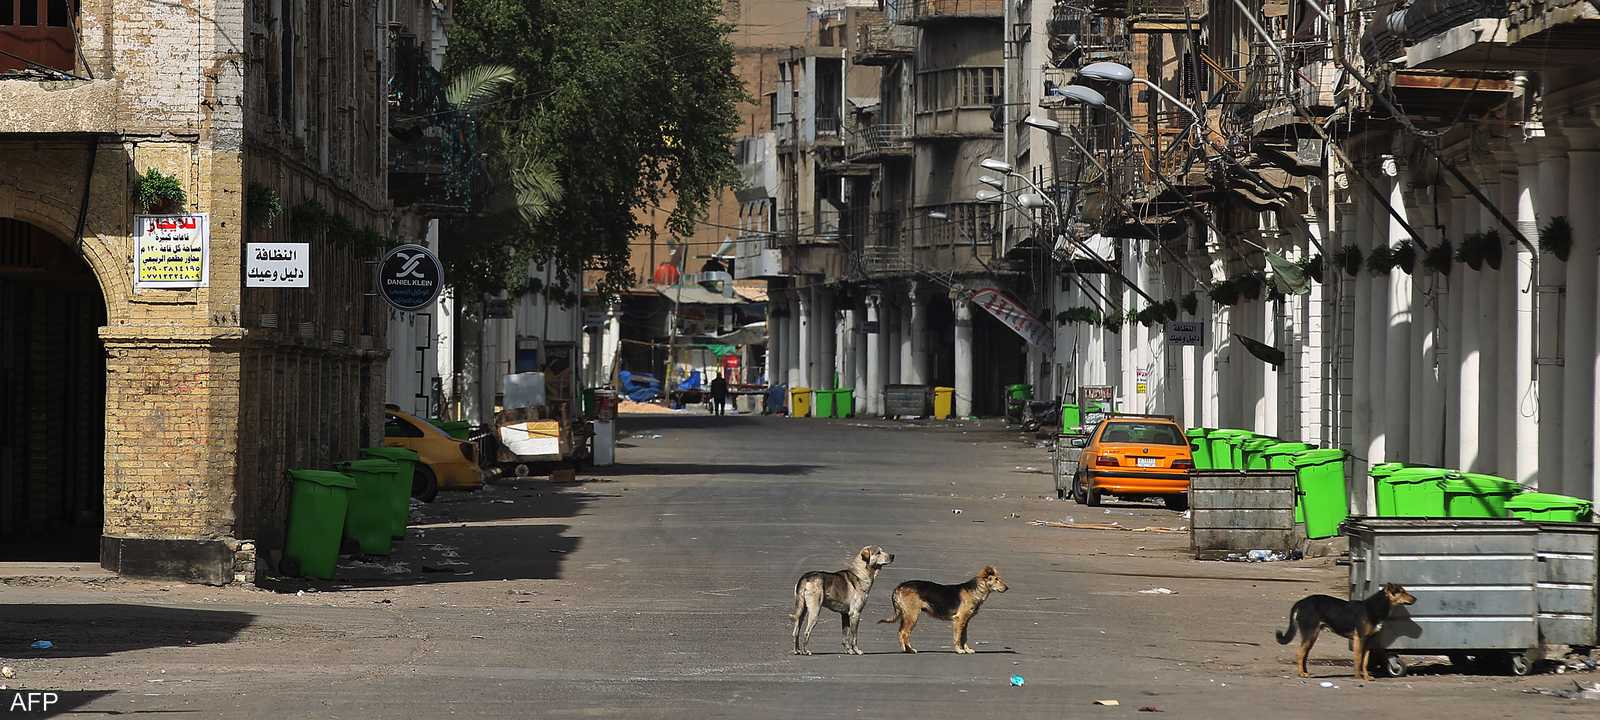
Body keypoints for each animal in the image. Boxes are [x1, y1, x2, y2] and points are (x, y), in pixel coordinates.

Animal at [1280, 582, 1420, 678]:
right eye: (1401, 591)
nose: (1416, 599)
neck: (1374, 608)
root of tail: (1301, 602)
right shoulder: (1360, 639)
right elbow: (1358, 658)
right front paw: (1358, 676)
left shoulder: (1368, 642)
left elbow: (1365, 661)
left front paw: (1367, 677)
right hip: (1310, 633)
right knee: (1299, 653)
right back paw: (1302, 674)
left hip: (1312, 635)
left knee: (1304, 654)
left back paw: (1305, 672)